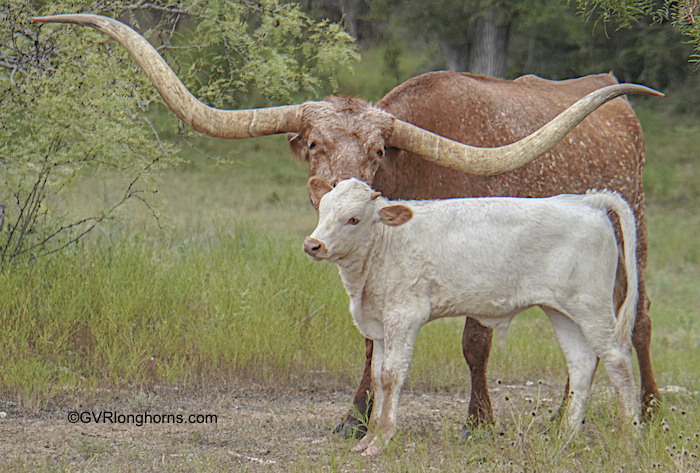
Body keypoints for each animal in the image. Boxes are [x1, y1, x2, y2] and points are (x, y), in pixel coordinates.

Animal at [304, 176, 636, 454]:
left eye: (353, 219)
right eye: (323, 210)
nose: (313, 244)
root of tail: (585, 201)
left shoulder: (404, 316)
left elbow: (390, 376)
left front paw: (381, 440)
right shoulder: (380, 323)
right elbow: (376, 375)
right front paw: (368, 438)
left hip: (592, 306)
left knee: (618, 361)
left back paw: (629, 437)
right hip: (560, 310)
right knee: (581, 363)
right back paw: (565, 438)